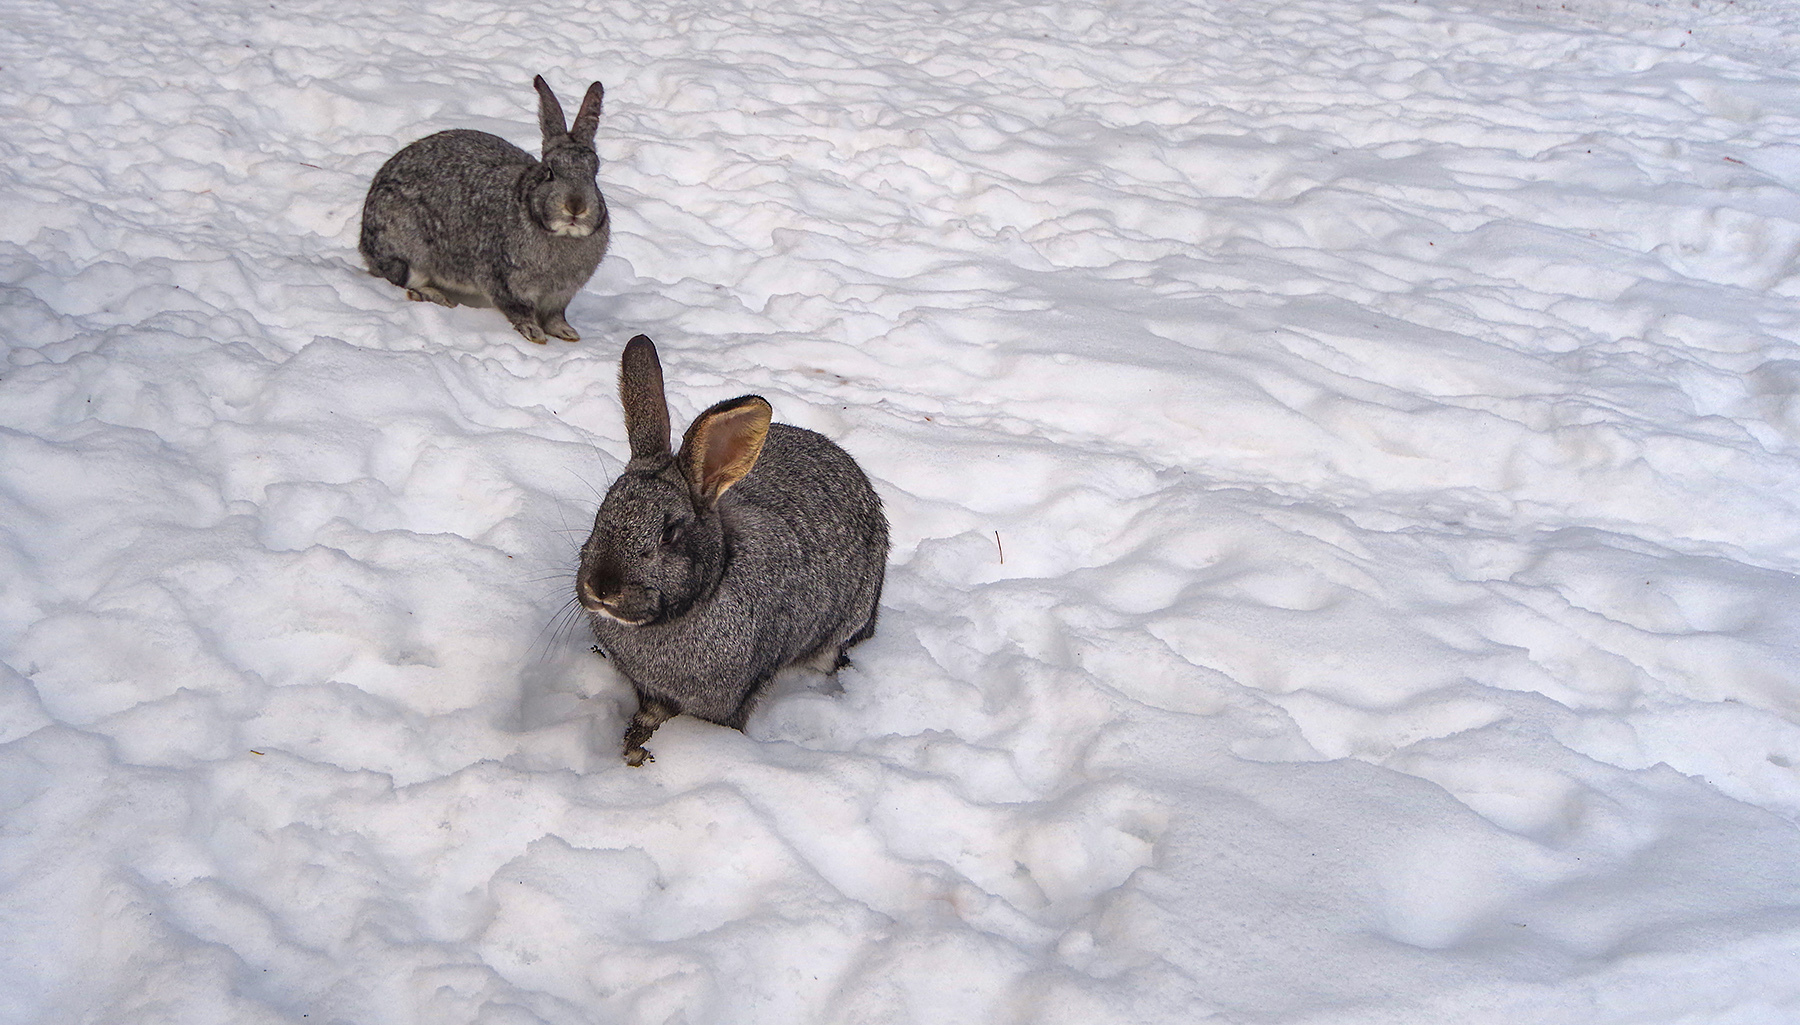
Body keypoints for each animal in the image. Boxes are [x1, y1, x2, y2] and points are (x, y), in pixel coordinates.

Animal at [358, 73, 612, 344]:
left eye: (594, 174)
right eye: (550, 172)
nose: (576, 207)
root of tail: (364, 242)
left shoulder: (559, 297)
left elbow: (555, 317)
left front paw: (567, 332)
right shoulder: (505, 282)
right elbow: (519, 311)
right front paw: (534, 334)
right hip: (409, 253)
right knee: (402, 280)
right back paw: (436, 296)